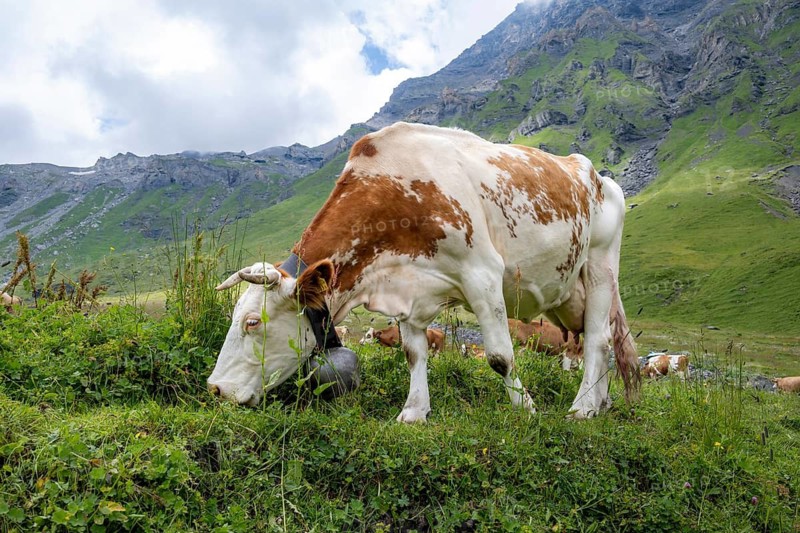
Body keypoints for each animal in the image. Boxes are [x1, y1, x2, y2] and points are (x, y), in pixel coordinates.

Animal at [209, 122, 640, 421]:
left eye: (252, 322)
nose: (215, 389)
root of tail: (596, 175)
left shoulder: (482, 274)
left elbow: (500, 356)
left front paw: (525, 408)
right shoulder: (408, 288)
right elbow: (413, 353)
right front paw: (414, 411)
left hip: (600, 265)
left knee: (597, 340)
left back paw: (582, 407)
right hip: (571, 292)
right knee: (598, 338)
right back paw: (600, 402)